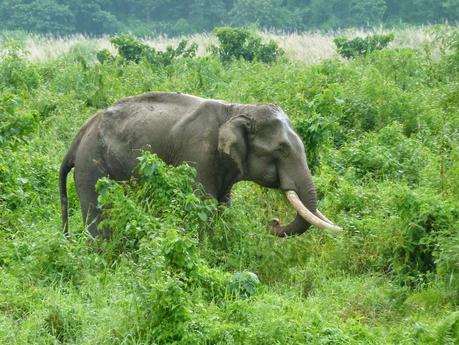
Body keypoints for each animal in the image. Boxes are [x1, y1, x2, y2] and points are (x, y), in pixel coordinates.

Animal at [58, 90, 342, 236]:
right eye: (281, 149)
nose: (272, 222)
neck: (235, 109)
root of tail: (79, 135)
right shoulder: (197, 155)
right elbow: (201, 204)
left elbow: (223, 205)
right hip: (91, 166)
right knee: (97, 213)